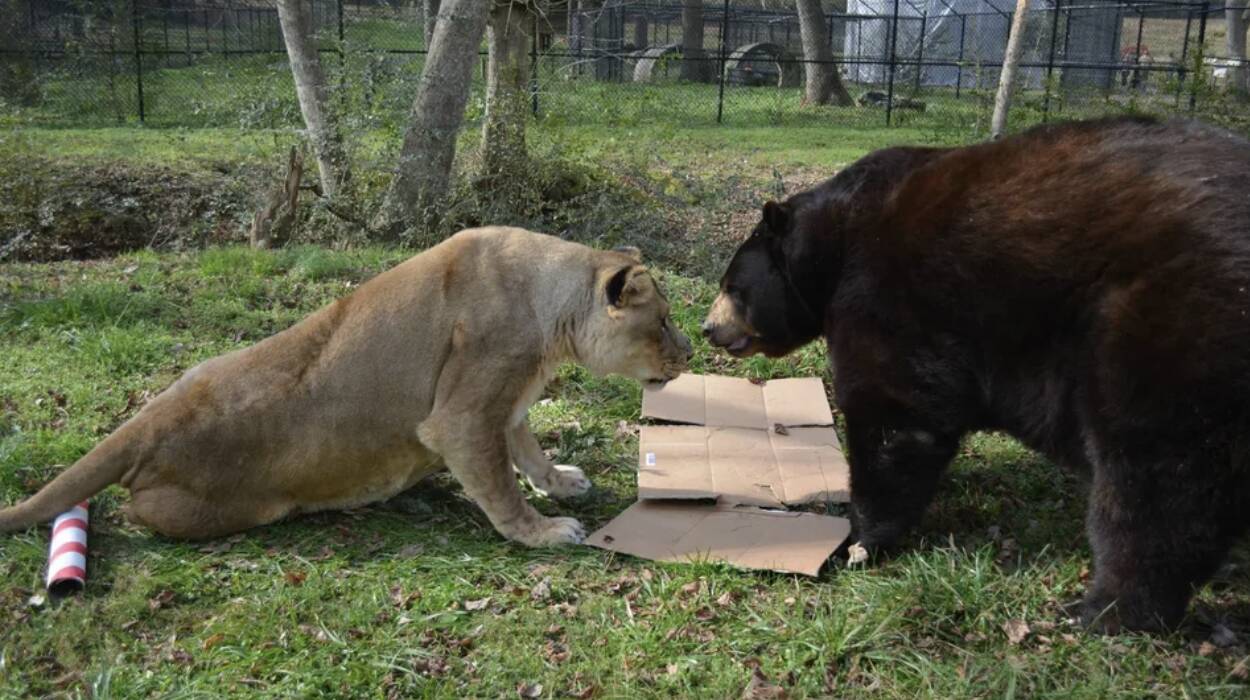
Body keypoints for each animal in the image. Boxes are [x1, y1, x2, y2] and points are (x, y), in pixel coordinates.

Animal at [705, 116, 1250, 635]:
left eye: (732, 286)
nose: (709, 328)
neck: (834, 242)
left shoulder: (885, 297)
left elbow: (894, 414)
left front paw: (857, 540)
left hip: (1168, 319)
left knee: (1153, 474)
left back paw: (1107, 609)